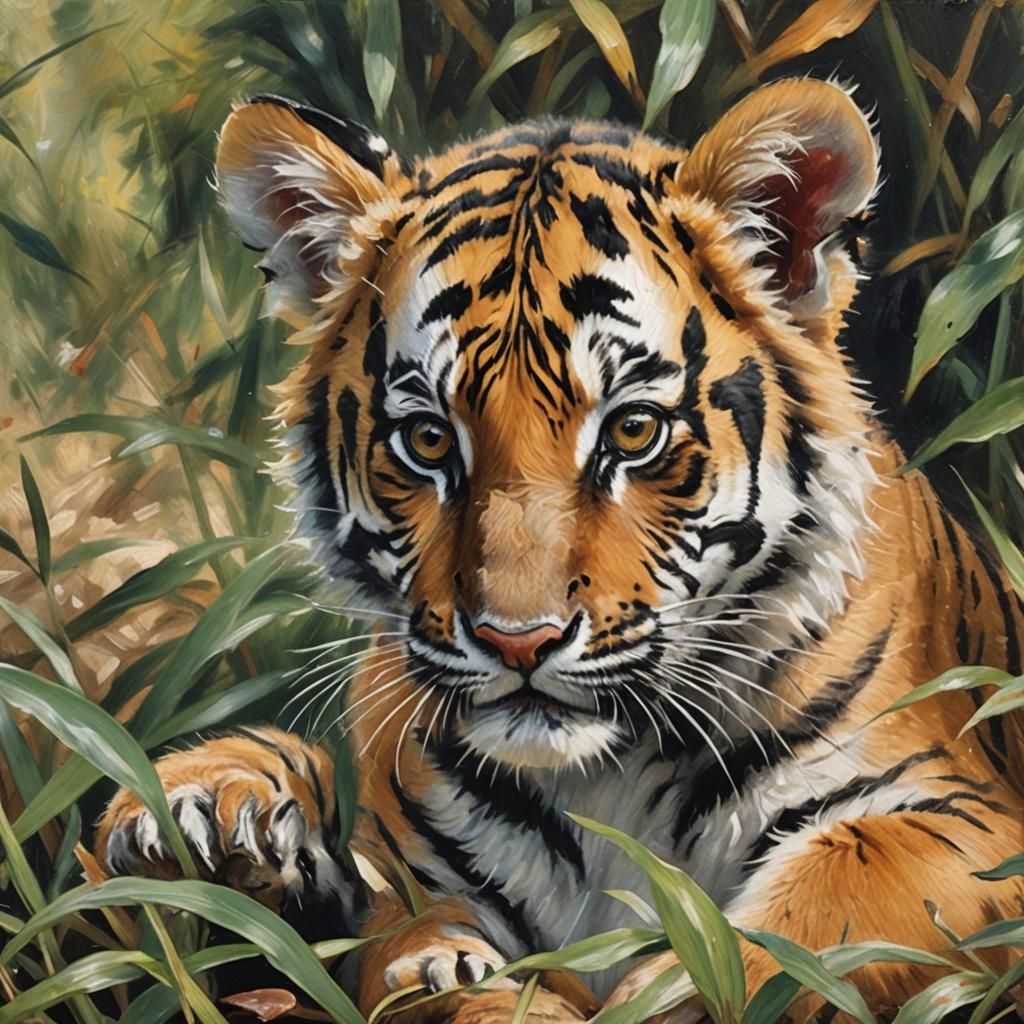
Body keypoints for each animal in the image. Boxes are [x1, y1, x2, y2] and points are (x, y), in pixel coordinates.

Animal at [95, 78, 1024, 1022]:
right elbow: (423, 956)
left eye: (634, 430)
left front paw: (671, 983)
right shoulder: (417, 878)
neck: (606, 779)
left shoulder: (965, 819)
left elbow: (822, 904)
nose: (518, 642)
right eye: (429, 440)